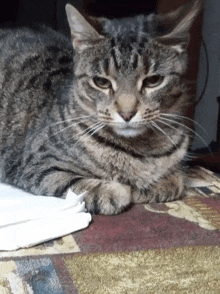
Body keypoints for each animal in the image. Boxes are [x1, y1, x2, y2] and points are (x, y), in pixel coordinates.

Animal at [0, 0, 202, 214]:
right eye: (101, 82)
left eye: (153, 81)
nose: (127, 113)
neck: (141, 151)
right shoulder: (37, 164)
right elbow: (79, 186)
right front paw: (118, 190)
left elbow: (176, 181)